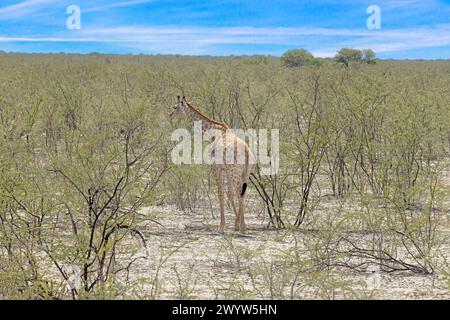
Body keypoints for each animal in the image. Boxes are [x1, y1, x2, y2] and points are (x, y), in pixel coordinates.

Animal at [170, 96, 253, 234]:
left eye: (175, 107)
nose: (170, 114)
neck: (212, 134)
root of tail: (246, 151)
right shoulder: (225, 170)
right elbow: (230, 194)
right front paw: (234, 224)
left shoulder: (215, 168)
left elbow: (221, 194)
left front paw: (221, 227)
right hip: (244, 173)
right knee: (242, 193)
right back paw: (242, 226)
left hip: (235, 172)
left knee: (239, 192)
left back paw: (243, 228)